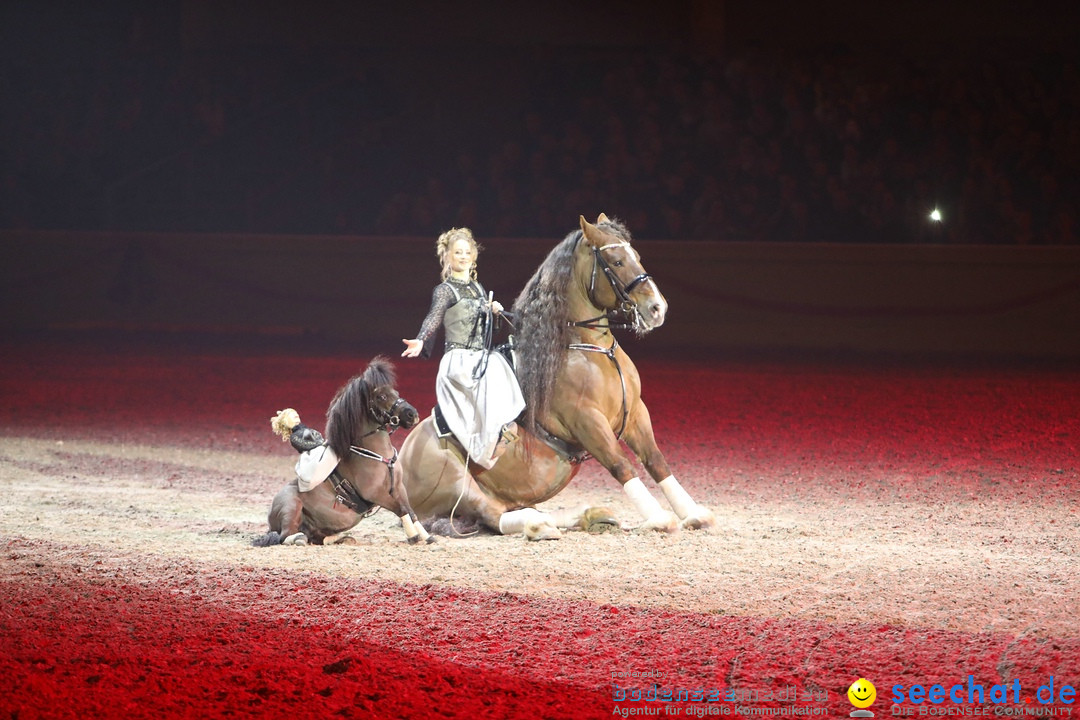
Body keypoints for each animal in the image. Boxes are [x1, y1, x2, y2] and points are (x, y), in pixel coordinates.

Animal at [252, 358, 425, 548]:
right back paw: (300, 538)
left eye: (396, 391)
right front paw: (414, 537)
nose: (412, 414)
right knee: (285, 535)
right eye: (382, 396)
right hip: (291, 505)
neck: (379, 457)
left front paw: (426, 537)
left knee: (316, 537)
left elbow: (410, 511)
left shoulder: (399, 488)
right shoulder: (375, 494)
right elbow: (401, 510)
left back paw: (342, 538)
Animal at [401, 215, 712, 539]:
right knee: (494, 515)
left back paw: (589, 515)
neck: (591, 351)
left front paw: (693, 514)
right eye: (616, 261)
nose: (657, 308)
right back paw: (541, 525)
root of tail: (401, 461)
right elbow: (620, 463)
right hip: (457, 483)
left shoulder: (636, 412)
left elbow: (656, 460)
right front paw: (658, 517)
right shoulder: (586, 421)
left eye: (636, 256)